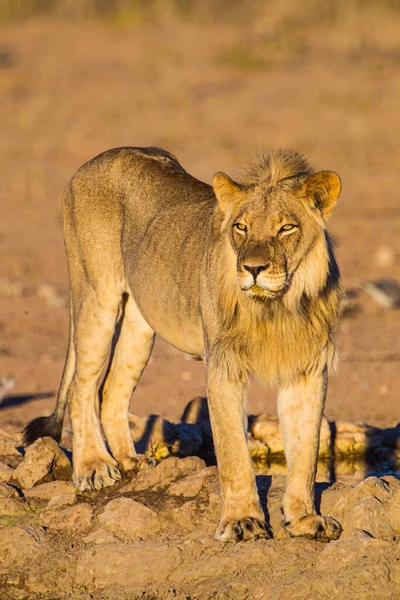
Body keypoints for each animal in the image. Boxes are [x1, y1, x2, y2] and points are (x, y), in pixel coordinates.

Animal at [24, 146, 344, 544]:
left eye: (287, 228)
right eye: (241, 227)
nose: (253, 268)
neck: (277, 308)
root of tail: (93, 162)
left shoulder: (307, 368)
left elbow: (306, 450)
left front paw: (305, 520)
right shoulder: (223, 365)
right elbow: (233, 451)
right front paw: (242, 521)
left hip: (140, 323)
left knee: (111, 388)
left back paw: (130, 461)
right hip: (96, 294)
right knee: (83, 387)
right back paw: (94, 467)